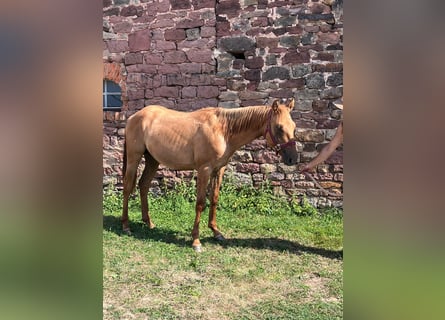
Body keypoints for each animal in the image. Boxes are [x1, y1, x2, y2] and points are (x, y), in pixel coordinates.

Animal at [120, 97, 298, 250]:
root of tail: (133, 117)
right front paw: (196, 241)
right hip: (134, 158)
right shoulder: (204, 170)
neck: (223, 130)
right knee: (128, 188)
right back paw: (126, 226)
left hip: (152, 160)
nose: (293, 159)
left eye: (294, 126)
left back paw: (148, 222)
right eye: (279, 127)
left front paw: (216, 232)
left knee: (143, 185)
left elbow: (214, 199)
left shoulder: (219, 170)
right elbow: (200, 203)